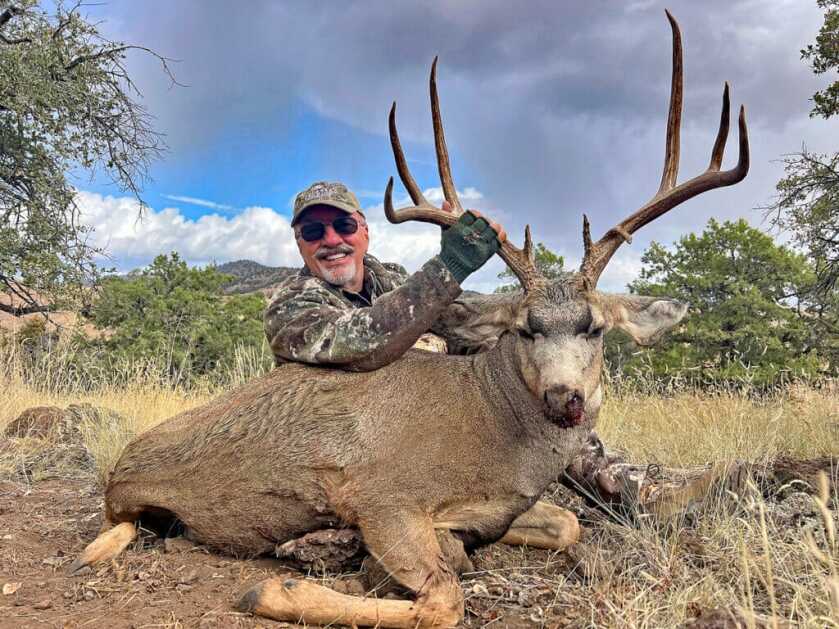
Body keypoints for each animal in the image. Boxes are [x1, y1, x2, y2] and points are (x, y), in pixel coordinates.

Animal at [70, 11, 748, 628]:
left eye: (596, 327)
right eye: (524, 328)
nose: (565, 399)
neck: (494, 428)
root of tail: (117, 474)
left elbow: (567, 522)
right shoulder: (382, 496)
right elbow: (445, 601)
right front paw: (277, 589)